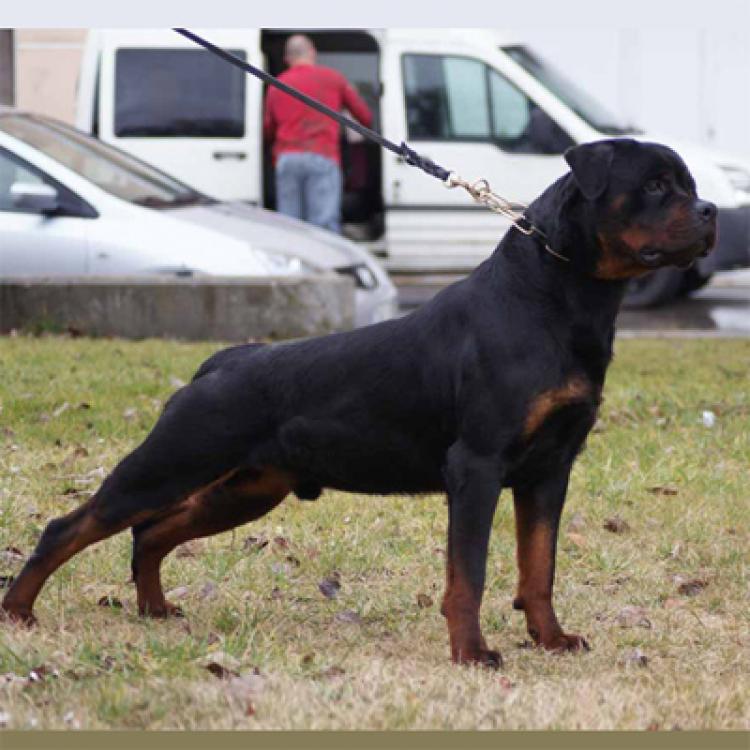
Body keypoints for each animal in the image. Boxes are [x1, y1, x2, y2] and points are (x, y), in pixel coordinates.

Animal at [0, 138, 716, 668]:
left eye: (687, 185)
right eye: (656, 186)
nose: (710, 212)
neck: (556, 298)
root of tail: (222, 361)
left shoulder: (549, 471)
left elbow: (538, 568)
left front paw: (551, 640)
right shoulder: (477, 467)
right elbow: (469, 573)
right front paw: (471, 653)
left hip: (247, 489)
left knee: (150, 533)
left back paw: (153, 608)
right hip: (170, 462)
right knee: (73, 526)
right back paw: (20, 612)